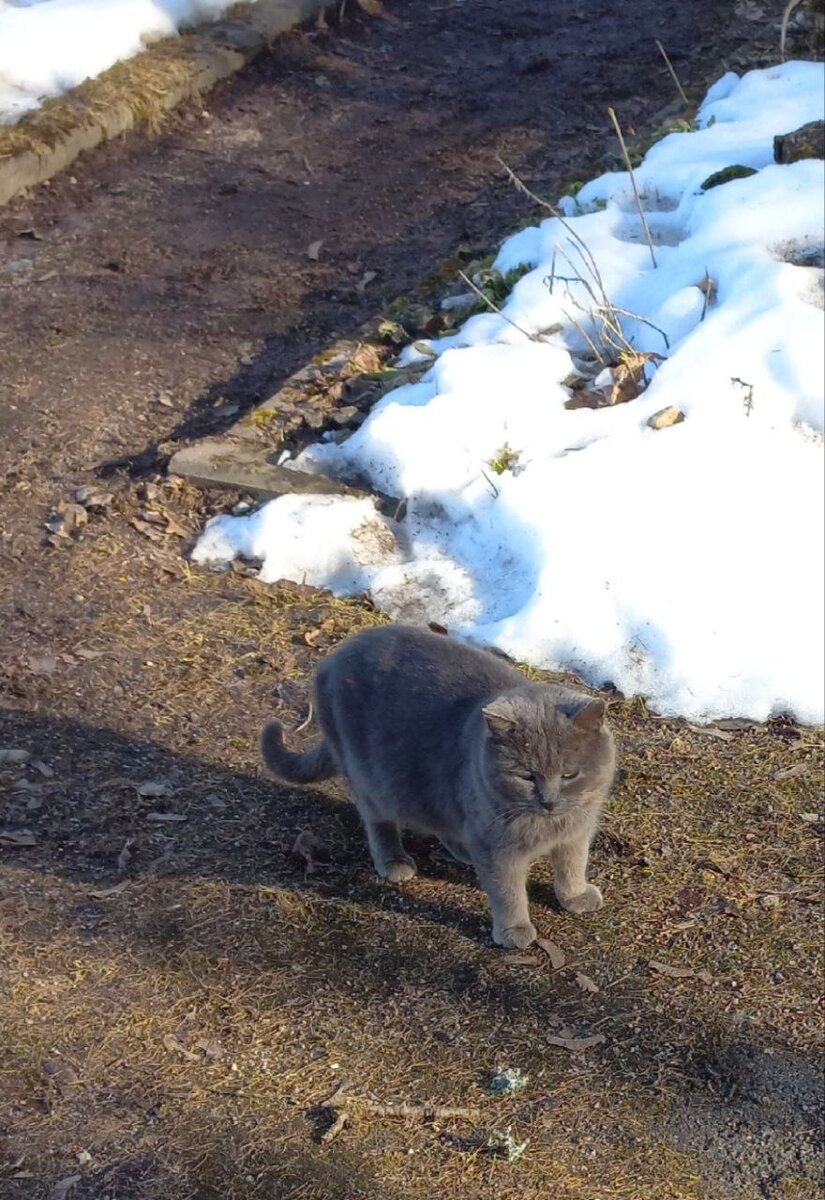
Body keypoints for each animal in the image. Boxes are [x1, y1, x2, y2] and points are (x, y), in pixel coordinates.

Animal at [261, 628, 613, 945]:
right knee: (377, 819)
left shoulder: (578, 831)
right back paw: (395, 861)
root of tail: (332, 659)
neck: (550, 826)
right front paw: (514, 930)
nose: (549, 801)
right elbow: (508, 891)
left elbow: (572, 864)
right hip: (371, 778)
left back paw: (461, 848)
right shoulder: (497, 848)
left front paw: (575, 896)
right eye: (527, 776)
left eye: (569, 775)